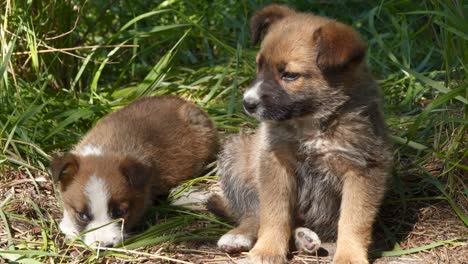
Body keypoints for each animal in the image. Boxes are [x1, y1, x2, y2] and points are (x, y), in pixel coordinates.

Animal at [208, 4, 392, 264]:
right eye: (259, 66)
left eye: (290, 75)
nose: (248, 103)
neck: (312, 124)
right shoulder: (276, 163)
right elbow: (274, 214)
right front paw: (267, 250)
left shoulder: (363, 168)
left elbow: (353, 220)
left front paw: (349, 255)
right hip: (236, 156)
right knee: (252, 212)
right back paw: (240, 235)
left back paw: (305, 238)